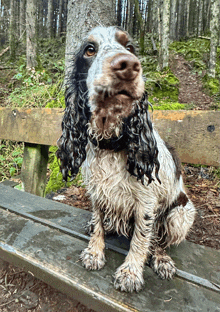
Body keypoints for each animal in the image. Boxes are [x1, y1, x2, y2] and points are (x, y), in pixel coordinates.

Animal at [57, 26, 196, 292]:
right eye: (89, 49)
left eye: (130, 47)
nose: (129, 65)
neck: (111, 144)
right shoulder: (97, 190)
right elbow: (99, 222)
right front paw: (94, 253)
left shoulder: (147, 203)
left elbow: (141, 240)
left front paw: (130, 273)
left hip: (181, 214)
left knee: (160, 240)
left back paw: (162, 260)